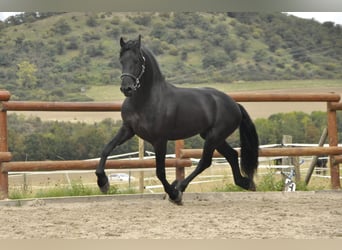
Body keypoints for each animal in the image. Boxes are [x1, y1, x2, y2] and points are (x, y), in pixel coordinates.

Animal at [95, 35, 258, 204]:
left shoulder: (160, 140)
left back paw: (179, 188)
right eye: (121, 60)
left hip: (214, 136)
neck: (145, 101)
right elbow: (106, 149)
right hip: (213, 136)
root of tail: (234, 104)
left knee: (205, 162)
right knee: (232, 155)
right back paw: (245, 183)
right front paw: (103, 182)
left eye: (137, 60)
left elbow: (160, 171)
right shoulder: (128, 129)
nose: (126, 88)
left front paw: (173, 194)